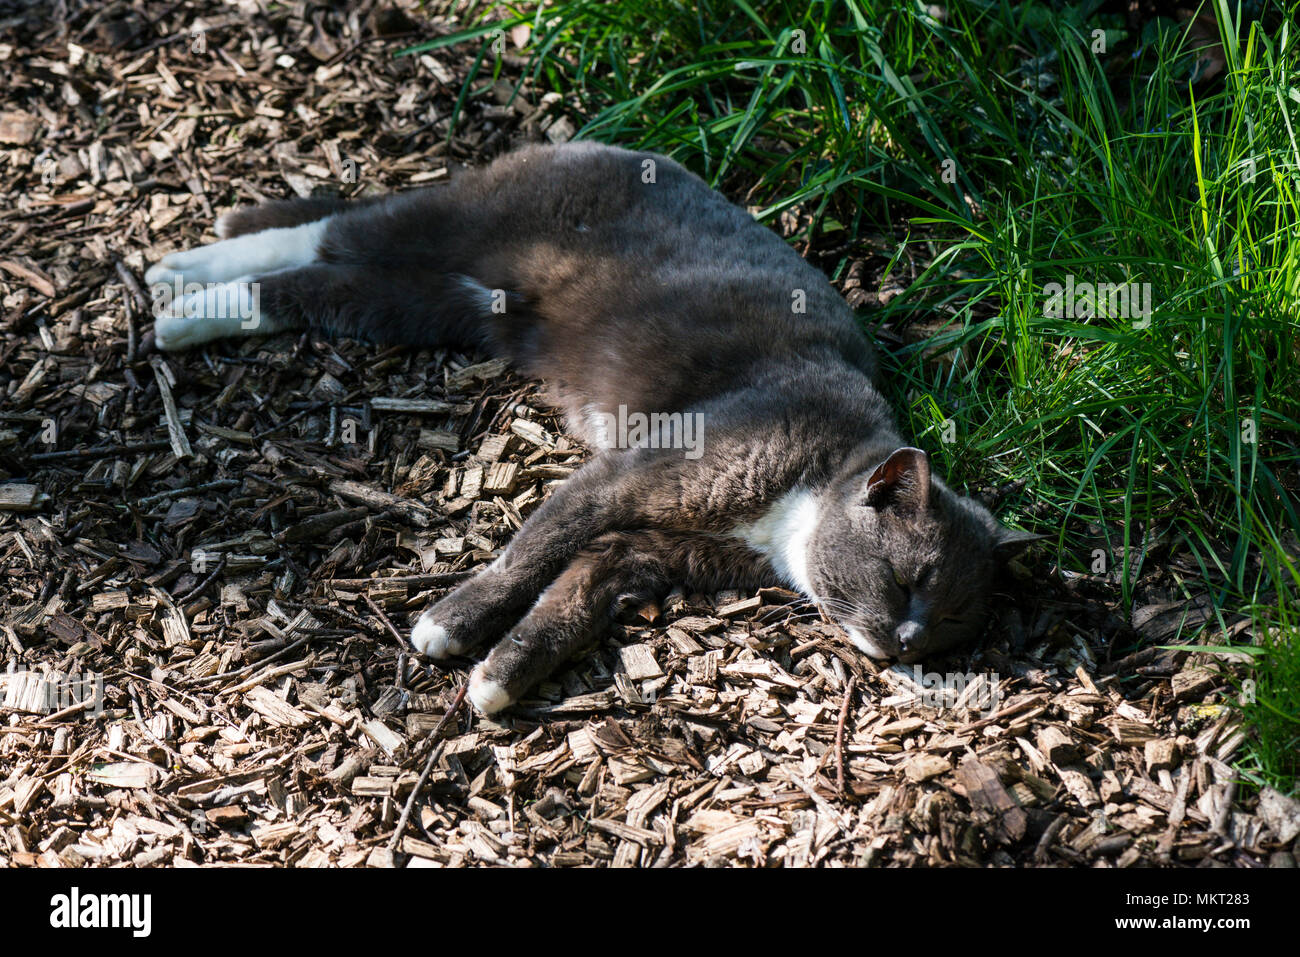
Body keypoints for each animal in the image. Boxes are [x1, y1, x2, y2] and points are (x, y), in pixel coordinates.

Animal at [144, 140, 1034, 712]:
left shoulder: (649, 549)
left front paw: (498, 678)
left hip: (434, 306)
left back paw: (192, 300)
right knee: (340, 229)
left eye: (953, 619)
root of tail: (597, 140)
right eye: (909, 579)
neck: (797, 506)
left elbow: (573, 591)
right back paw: (177, 277)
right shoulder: (635, 471)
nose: (911, 639)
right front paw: (445, 625)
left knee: (317, 284)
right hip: (464, 222)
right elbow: (532, 546)